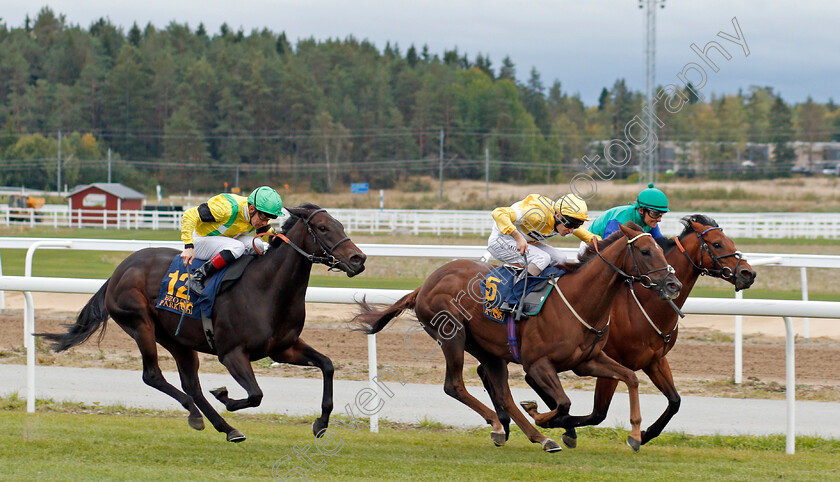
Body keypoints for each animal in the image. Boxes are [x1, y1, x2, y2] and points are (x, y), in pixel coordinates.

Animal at [41, 201, 364, 442]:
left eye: (341, 225)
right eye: (323, 228)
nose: (358, 259)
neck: (267, 288)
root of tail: (119, 271)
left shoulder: (284, 348)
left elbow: (327, 365)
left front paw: (321, 423)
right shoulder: (231, 353)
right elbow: (255, 394)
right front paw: (226, 396)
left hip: (177, 339)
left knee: (191, 384)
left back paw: (225, 427)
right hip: (140, 324)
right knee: (153, 375)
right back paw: (197, 414)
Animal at [352, 222, 684, 452]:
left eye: (660, 248)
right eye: (645, 251)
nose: (673, 284)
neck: (579, 301)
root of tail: (425, 284)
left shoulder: (588, 360)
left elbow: (630, 377)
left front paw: (635, 434)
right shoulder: (538, 364)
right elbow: (563, 403)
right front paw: (542, 415)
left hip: (488, 349)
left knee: (502, 394)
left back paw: (538, 437)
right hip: (452, 335)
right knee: (455, 385)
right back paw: (502, 426)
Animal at [516, 215, 756, 448]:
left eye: (730, 241)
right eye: (716, 244)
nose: (749, 273)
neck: (643, 304)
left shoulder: (655, 360)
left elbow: (675, 401)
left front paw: (645, 433)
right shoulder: (610, 360)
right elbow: (598, 413)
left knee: (531, 378)